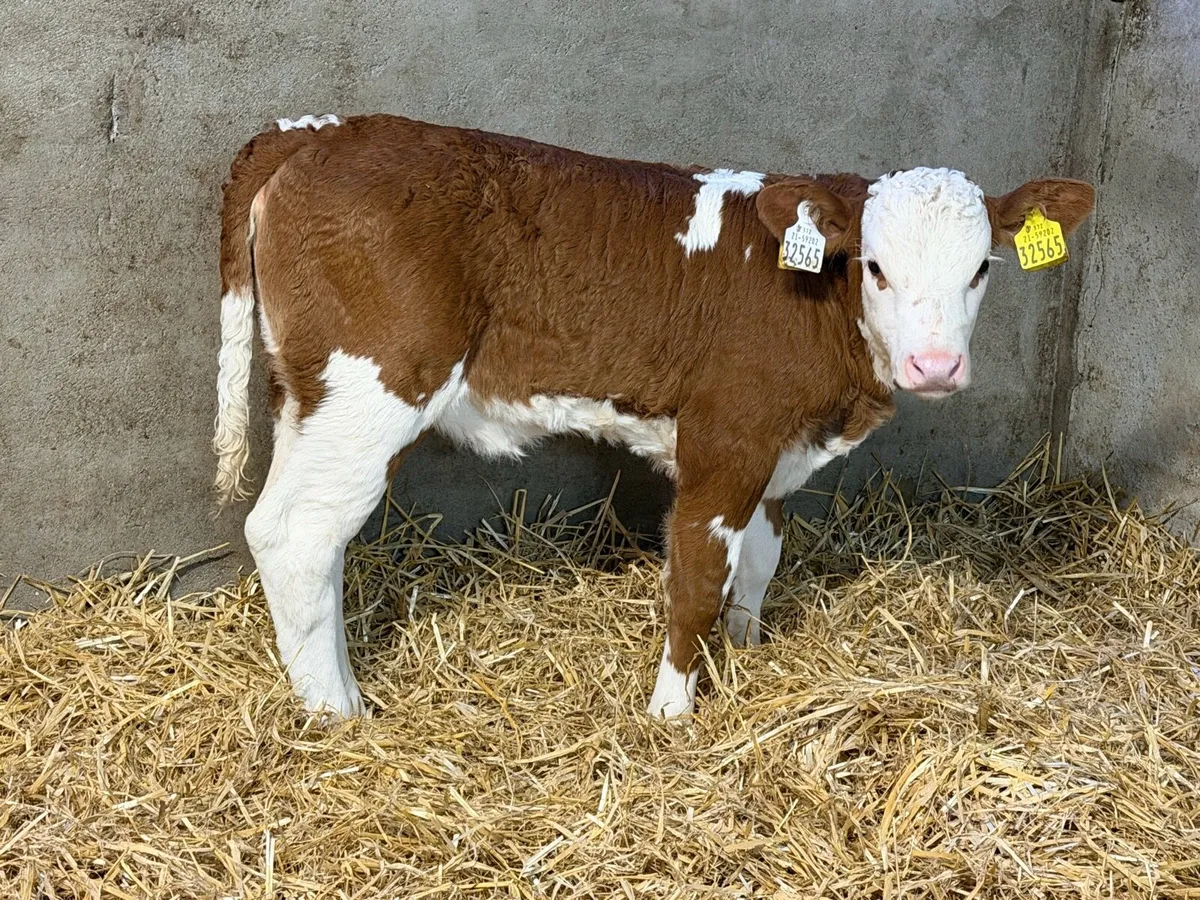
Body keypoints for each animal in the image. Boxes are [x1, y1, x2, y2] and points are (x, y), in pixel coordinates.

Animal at [212, 113, 1094, 719]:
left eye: (981, 269)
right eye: (875, 267)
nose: (935, 367)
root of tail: (321, 131)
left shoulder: (777, 451)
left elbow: (761, 562)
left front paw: (747, 650)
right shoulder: (726, 437)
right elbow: (698, 578)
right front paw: (671, 711)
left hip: (309, 393)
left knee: (300, 533)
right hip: (373, 386)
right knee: (298, 535)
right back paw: (338, 712)